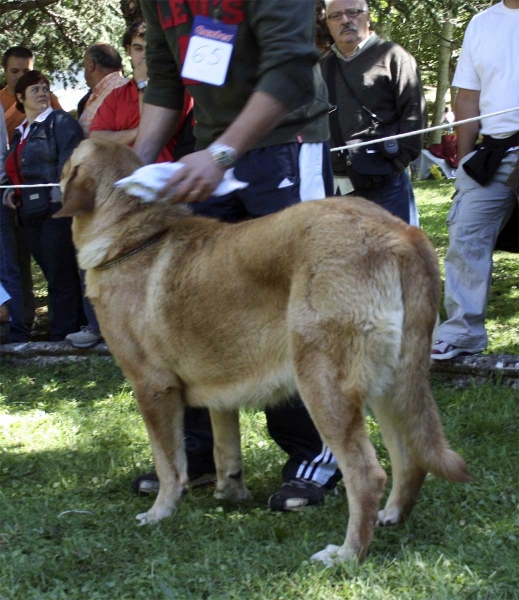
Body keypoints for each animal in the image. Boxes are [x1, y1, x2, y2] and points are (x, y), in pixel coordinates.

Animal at [55, 138, 472, 564]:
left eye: (66, 161)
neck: (134, 239)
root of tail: (399, 233)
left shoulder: (152, 389)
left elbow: (169, 462)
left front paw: (160, 512)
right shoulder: (218, 391)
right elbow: (225, 450)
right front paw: (230, 494)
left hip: (323, 386)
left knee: (367, 475)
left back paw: (346, 554)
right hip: (391, 388)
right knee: (410, 460)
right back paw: (391, 516)